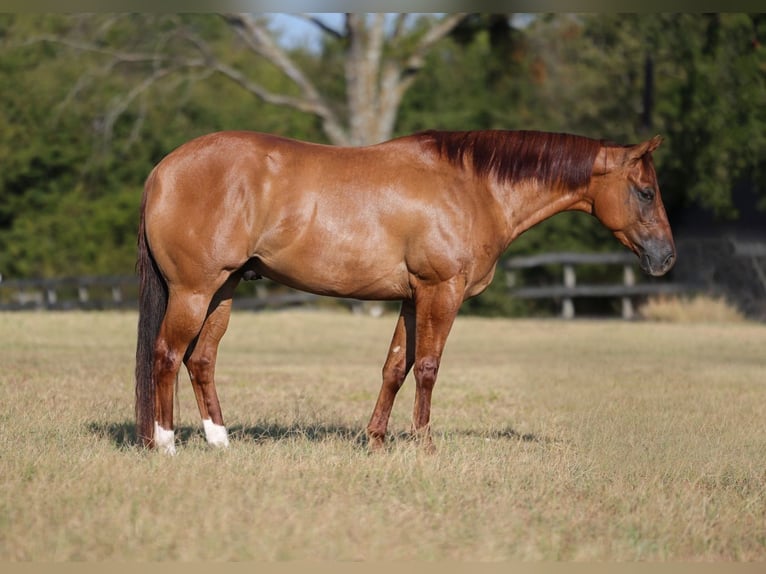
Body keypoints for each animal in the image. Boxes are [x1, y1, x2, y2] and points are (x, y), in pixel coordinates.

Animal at [135, 129, 675, 454]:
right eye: (645, 191)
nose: (666, 257)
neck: (472, 186)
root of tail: (163, 169)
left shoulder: (413, 298)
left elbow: (396, 367)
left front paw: (376, 440)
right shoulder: (441, 291)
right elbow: (429, 367)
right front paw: (426, 445)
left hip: (223, 291)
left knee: (201, 359)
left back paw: (220, 442)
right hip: (193, 291)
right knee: (166, 354)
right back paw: (165, 443)